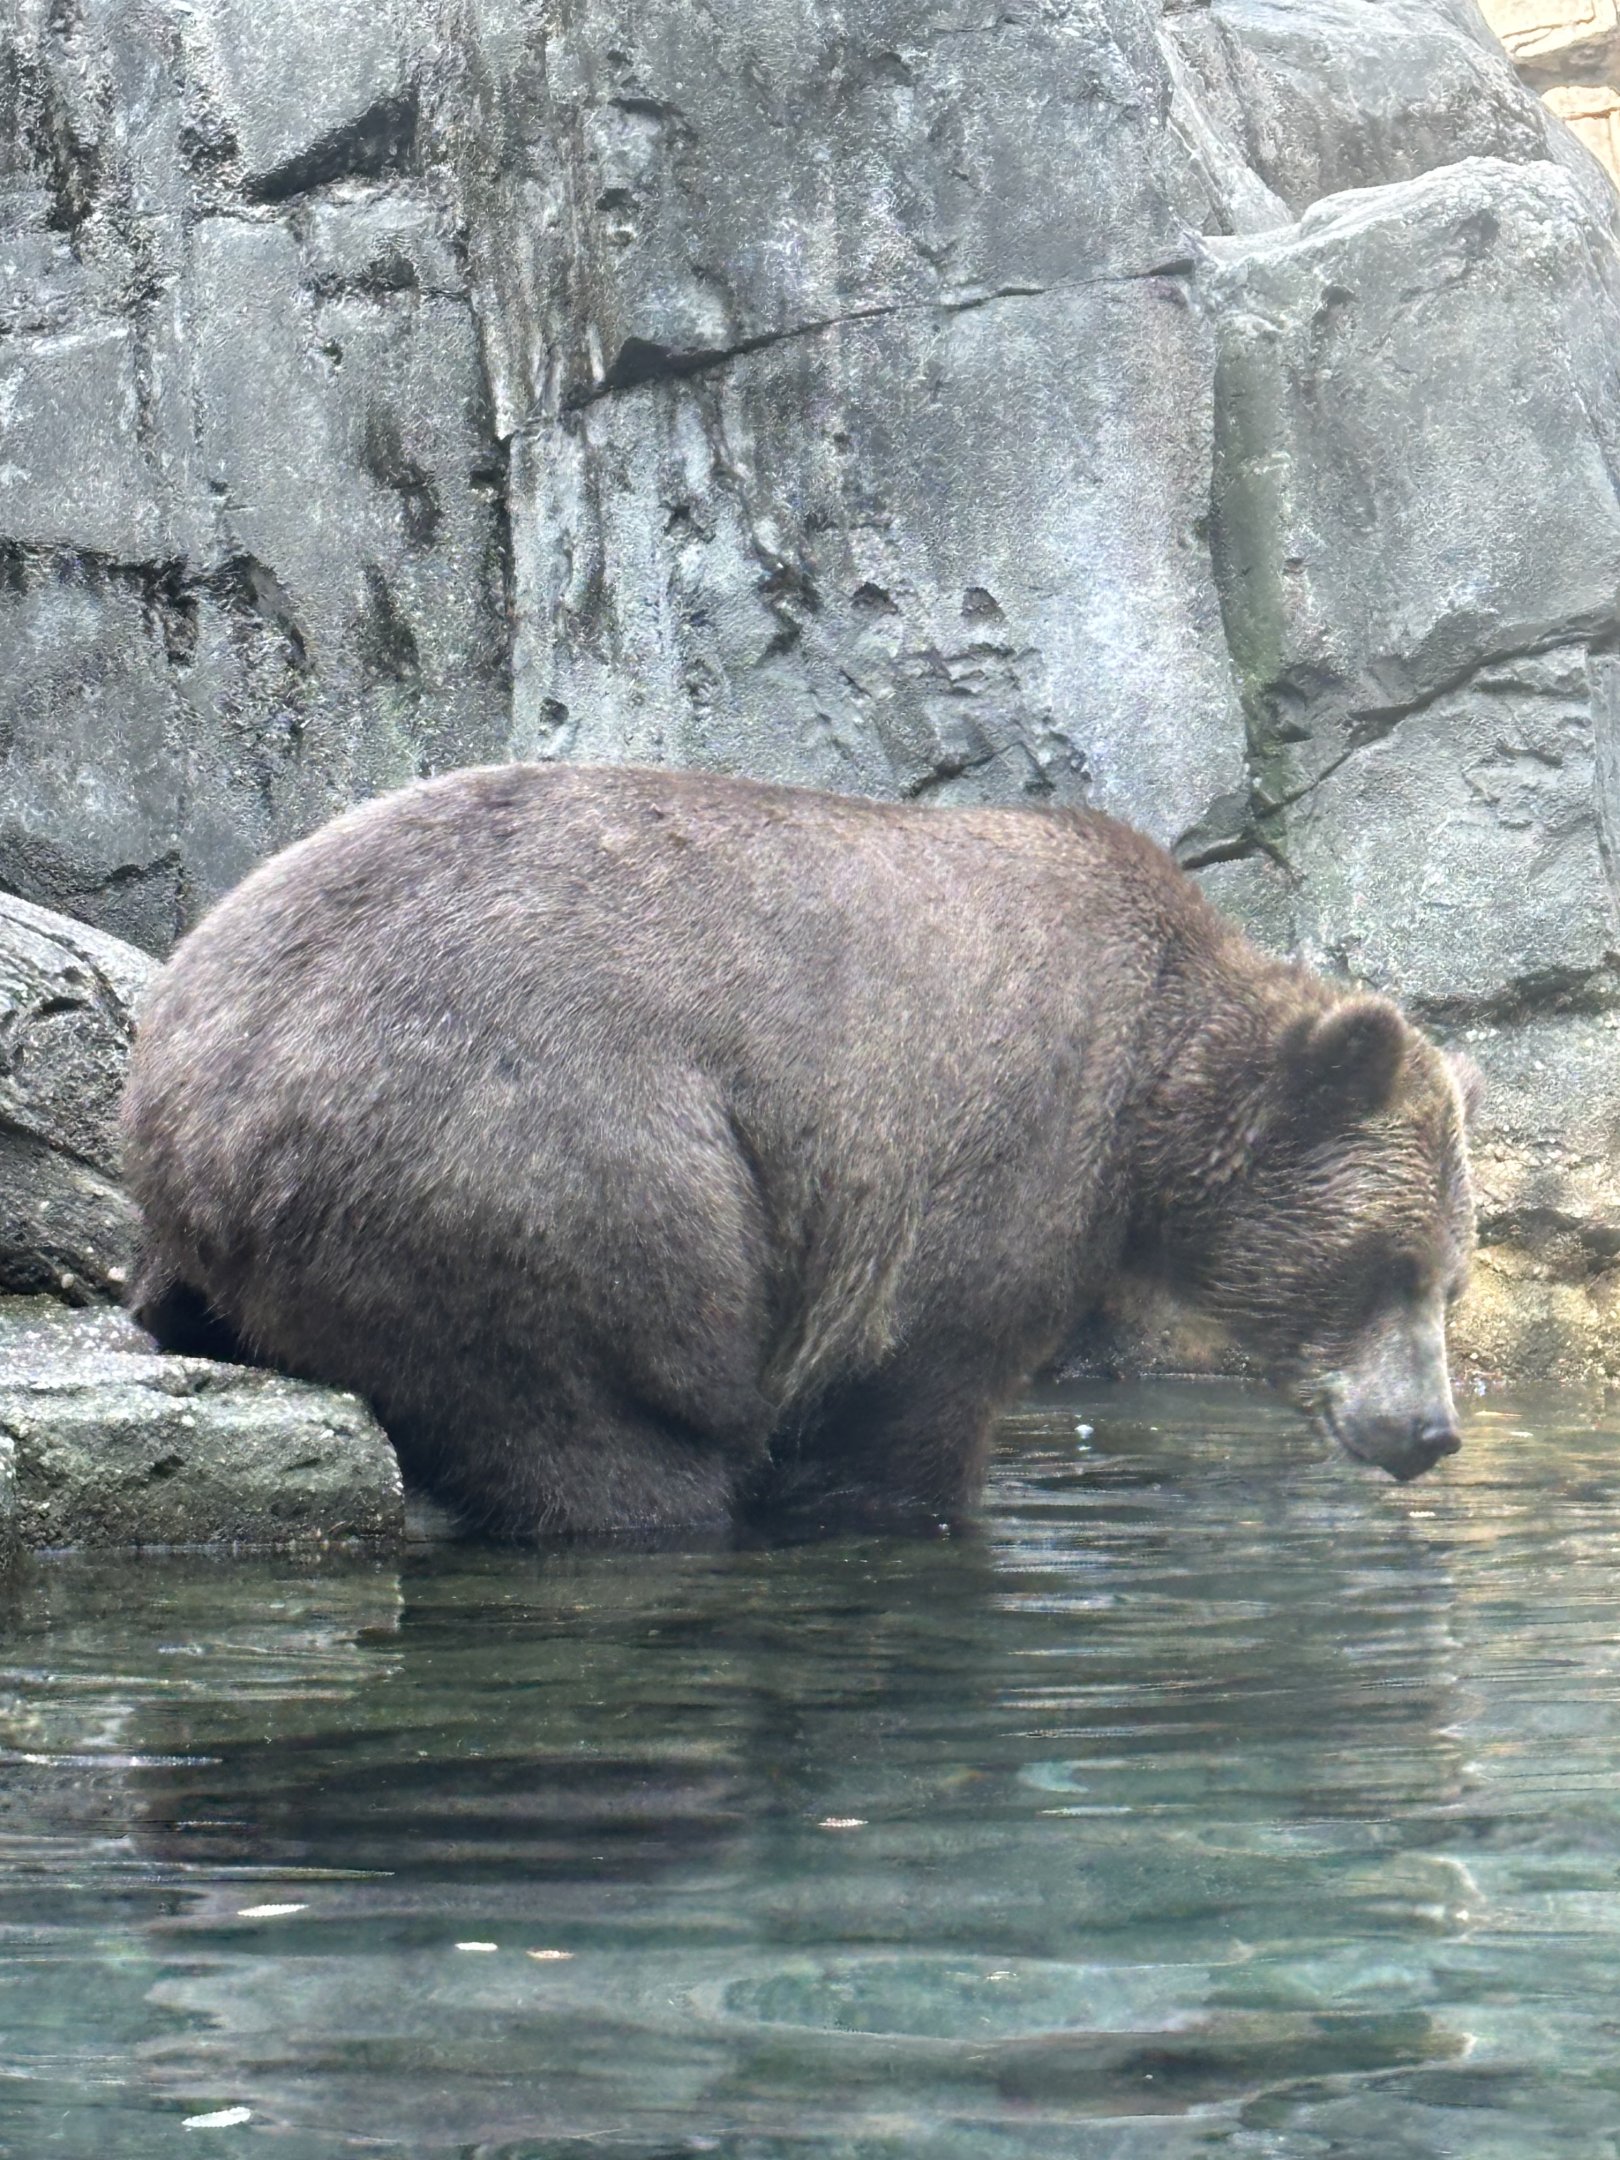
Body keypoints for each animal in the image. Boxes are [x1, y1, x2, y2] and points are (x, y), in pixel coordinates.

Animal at [119, 762, 1477, 1536]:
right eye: (1392, 1265)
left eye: (1450, 1280)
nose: (1431, 1431)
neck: (1157, 1087)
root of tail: (181, 1079)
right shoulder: (1003, 1140)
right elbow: (921, 1380)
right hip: (530, 1162)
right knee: (605, 1420)